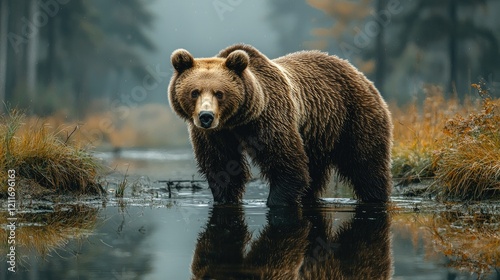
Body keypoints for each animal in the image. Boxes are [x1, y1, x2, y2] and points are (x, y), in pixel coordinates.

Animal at [170, 43, 392, 206]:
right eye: (194, 92)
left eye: (219, 93)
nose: (206, 116)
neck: (238, 120)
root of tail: (359, 74)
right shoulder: (216, 135)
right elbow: (220, 166)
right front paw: (224, 198)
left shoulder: (269, 118)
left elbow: (286, 162)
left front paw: (276, 200)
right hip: (318, 134)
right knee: (316, 169)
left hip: (354, 116)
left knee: (365, 163)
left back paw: (376, 196)